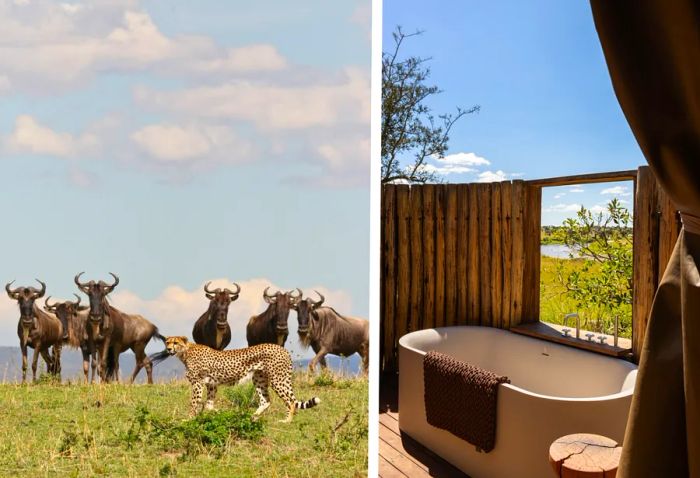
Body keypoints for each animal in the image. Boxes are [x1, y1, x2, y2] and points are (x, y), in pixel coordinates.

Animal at [164, 338, 320, 420]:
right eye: (167, 342)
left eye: (175, 342)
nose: (168, 349)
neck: (185, 352)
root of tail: (282, 348)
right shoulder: (211, 384)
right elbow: (209, 404)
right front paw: (219, 413)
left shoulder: (198, 383)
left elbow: (193, 402)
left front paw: (188, 418)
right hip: (259, 379)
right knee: (266, 400)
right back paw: (253, 417)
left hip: (277, 379)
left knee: (290, 401)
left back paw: (286, 420)